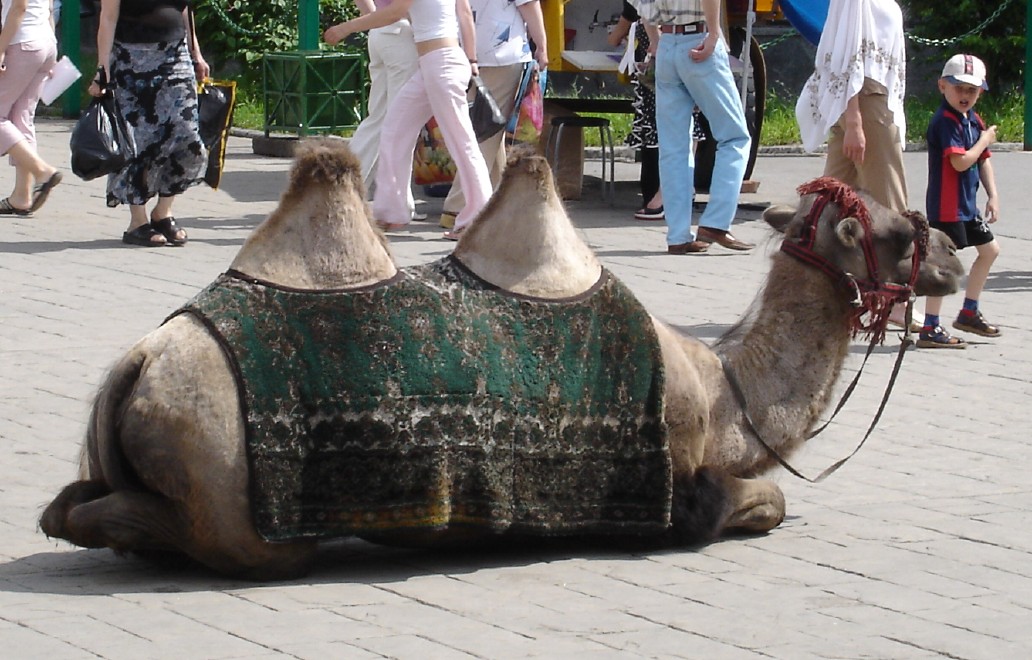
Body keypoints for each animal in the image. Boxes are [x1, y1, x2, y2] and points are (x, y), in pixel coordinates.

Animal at [40, 140, 963, 579]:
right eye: (894, 228)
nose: (955, 255)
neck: (729, 396)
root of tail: (141, 360)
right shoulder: (683, 498)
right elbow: (765, 502)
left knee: (77, 507)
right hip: (234, 500)